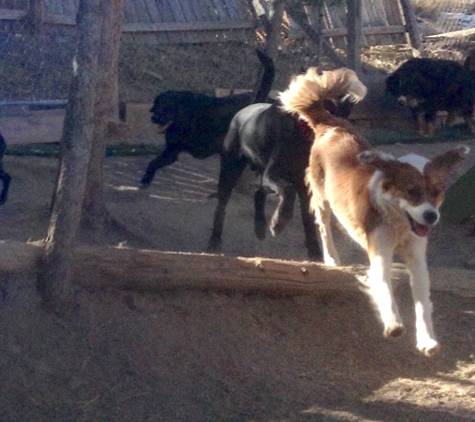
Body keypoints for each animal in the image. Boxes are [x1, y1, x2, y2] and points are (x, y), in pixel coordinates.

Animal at [140, 49, 276, 186]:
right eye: (157, 105)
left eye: (167, 108)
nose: (154, 118)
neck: (184, 117)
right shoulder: (171, 150)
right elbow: (153, 163)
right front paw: (146, 178)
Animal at [206, 67, 366, 258]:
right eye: (328, 106)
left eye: (345, 110)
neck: (302, 134)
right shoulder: (274, 175)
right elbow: (288, 191)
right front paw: (279, 221)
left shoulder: (304, 186)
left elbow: (308, 220)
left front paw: (314, 251)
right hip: (231, 168)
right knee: (222, 205)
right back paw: (215, 240)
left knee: (258, 191)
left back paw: (260, 226)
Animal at [280, 67, 470, 358]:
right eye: (412, 192)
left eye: (436, 191)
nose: (431, 216)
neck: (399, 223)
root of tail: (331, 124)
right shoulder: (380, 252)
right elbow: (384, 288)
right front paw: (393, 324)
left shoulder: (416, 258)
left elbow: (422, 302)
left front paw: (427, 340)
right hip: (321, 197)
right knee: (324, 228)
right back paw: (332, 259)